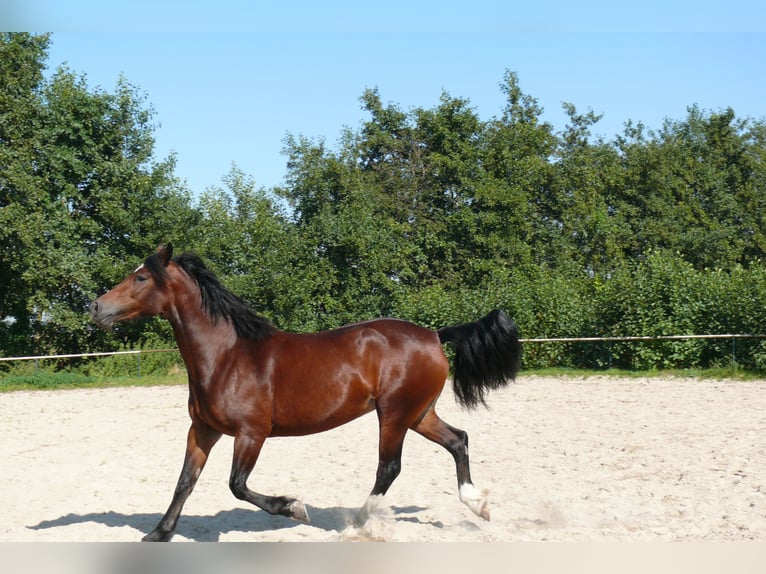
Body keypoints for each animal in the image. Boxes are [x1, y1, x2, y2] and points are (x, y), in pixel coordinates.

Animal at [88, 245, 520, 544]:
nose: (96, 307)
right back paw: (478, 505)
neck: (226, 356)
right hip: (418, 414)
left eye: (141, 279)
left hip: (394, 414)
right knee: (458, 440)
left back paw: (356, 526)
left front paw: (294, 507)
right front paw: (159, 533)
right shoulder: (203, 431)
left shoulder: (252, 433)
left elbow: (237, 485)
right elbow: (184, 482)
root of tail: (434, 334)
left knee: (389, 468)